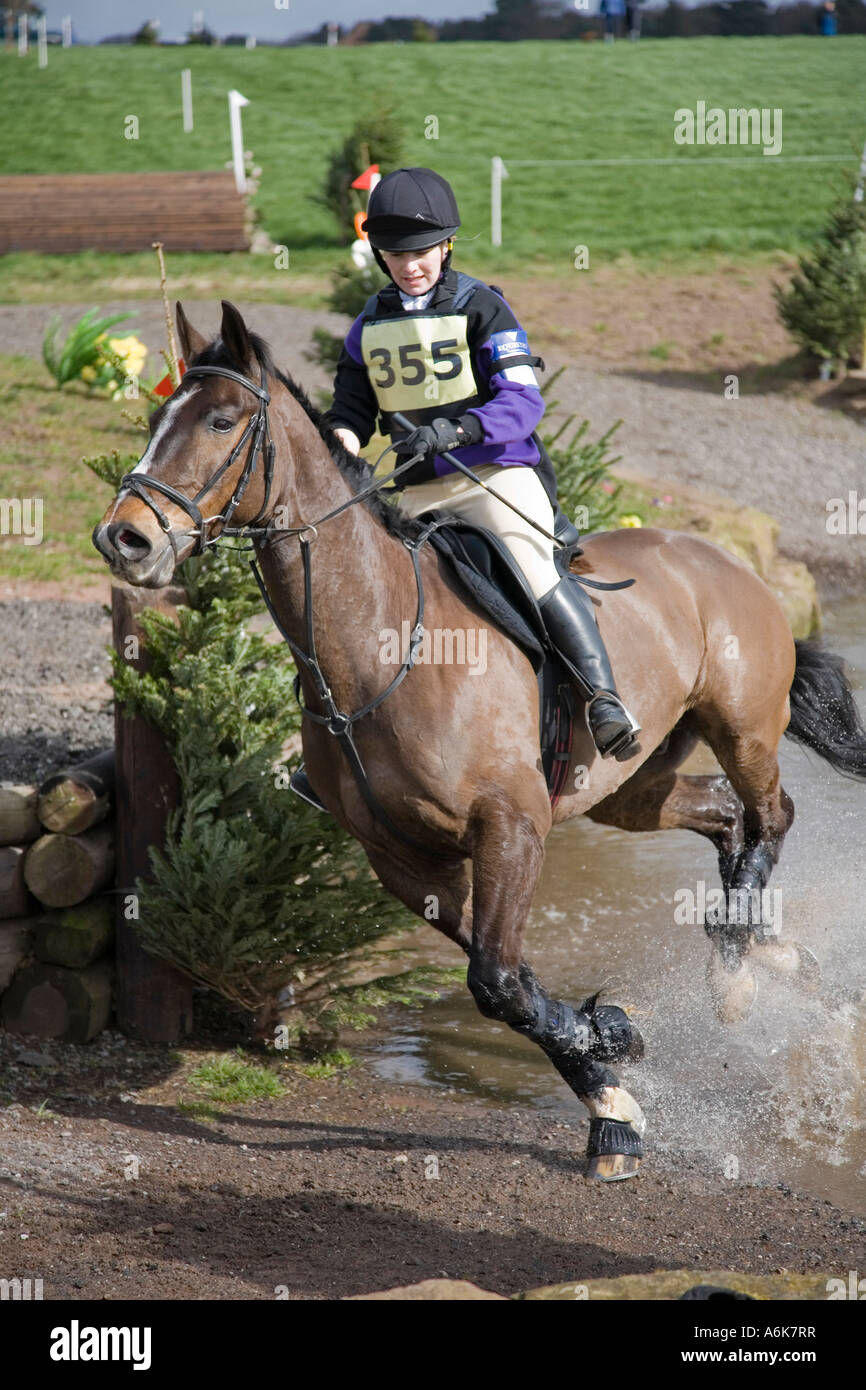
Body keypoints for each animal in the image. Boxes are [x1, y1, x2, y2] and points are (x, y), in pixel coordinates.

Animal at [93, 300, 866, 1180]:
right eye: (155, 421)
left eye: (221, 421)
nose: (124, 539)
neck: (380, 647)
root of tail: (723, 558)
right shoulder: (406, 860)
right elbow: (513, 983)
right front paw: (611, 1087)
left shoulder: (512, 826)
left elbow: (497, 980)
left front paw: (613, 1049)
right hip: (627, 786)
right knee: (726, 818)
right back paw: (765, 957)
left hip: (740, 729)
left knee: (772, 813)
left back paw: (738, 977)